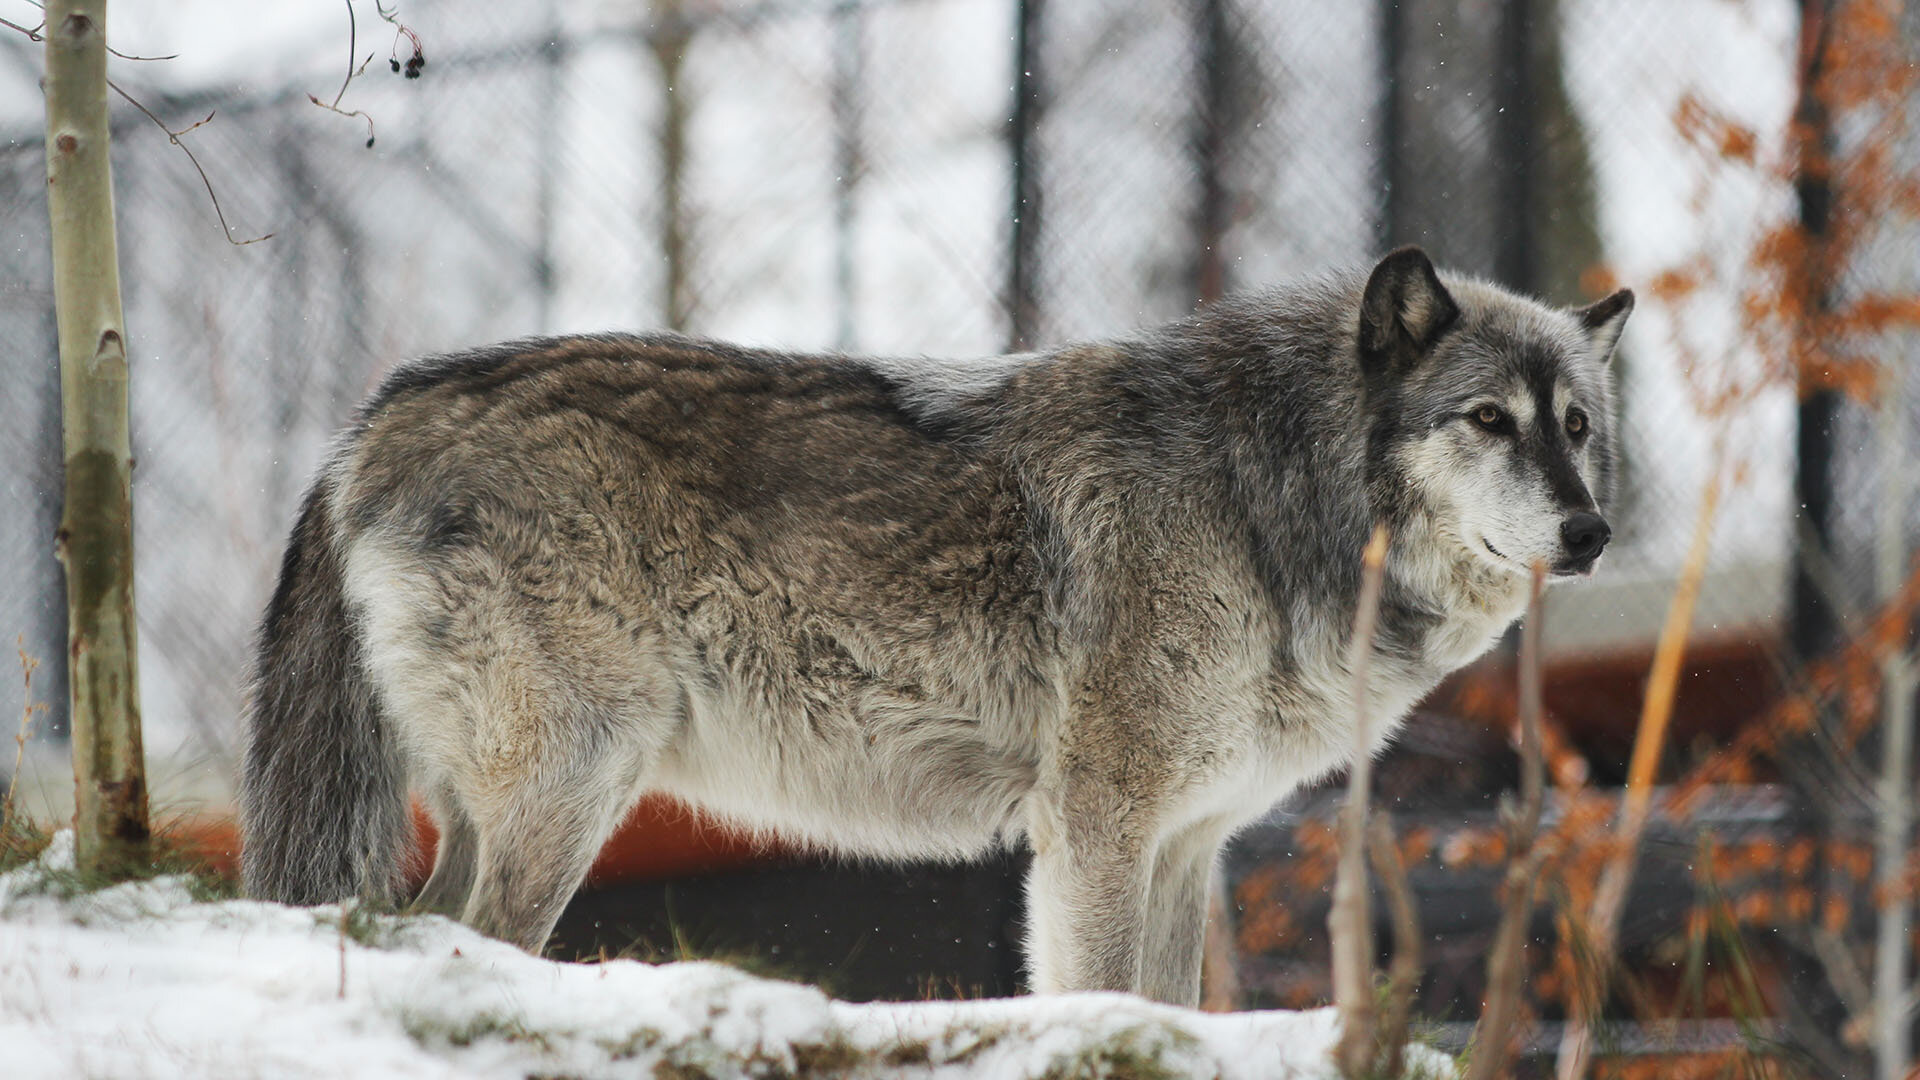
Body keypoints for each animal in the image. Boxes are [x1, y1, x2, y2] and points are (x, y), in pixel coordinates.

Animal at [241, 246, 1629, 1006]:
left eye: (1576, 427)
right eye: (1489, 421)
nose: (1592, 534)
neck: (1262, 496)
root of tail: (371, 421)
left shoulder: (1191, 842)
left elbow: (1176, 1010)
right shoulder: (1100, 825)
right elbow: (1096, 992)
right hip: (580, 783)